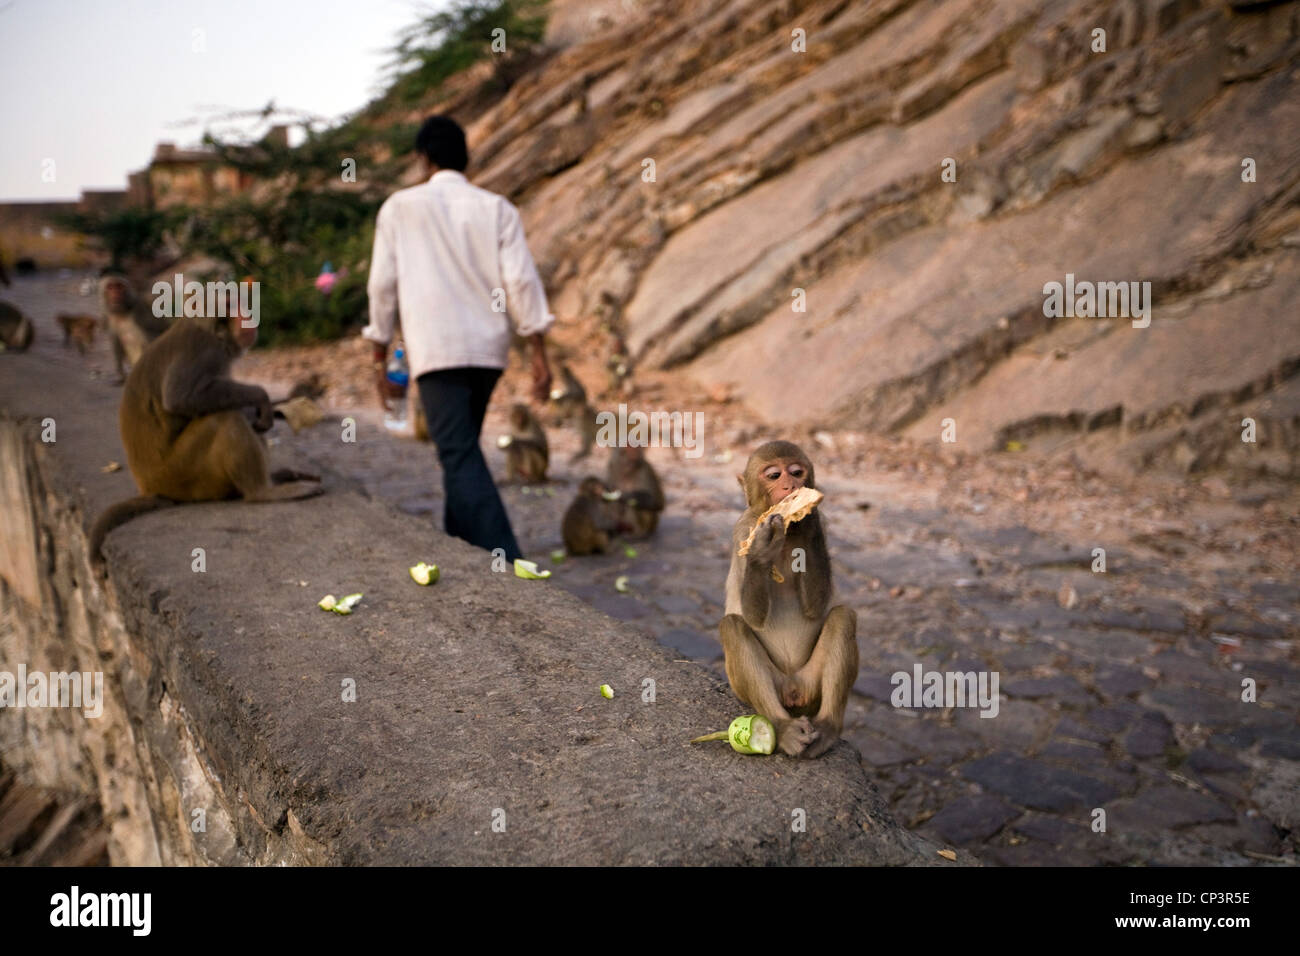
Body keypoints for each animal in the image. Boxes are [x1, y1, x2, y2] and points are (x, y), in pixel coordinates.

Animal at [717, 442, 857, 764]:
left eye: (796, 472)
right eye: (773, 475)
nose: (790, 486)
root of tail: (794, 690)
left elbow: (816, 607)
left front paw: (809, 518)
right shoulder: (742, 531)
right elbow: (753, 618)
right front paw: (760, 551)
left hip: (811, 684)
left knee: (843, 617)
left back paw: (828, 726)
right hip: (771, 687)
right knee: (732, 626)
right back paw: (782, 728)